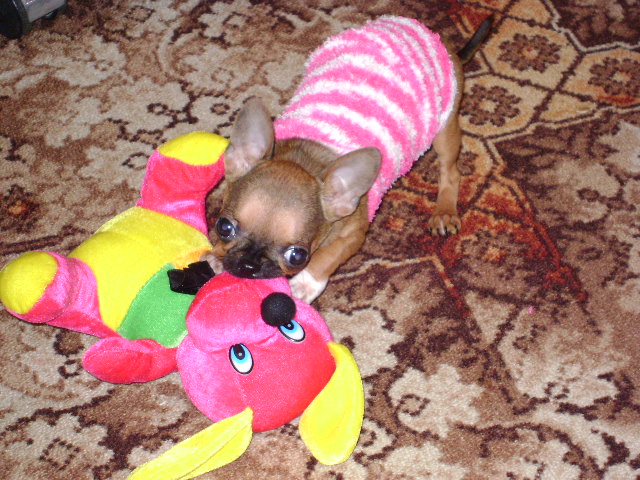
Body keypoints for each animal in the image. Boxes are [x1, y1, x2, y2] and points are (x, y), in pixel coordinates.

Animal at [204, 16, 492, 303]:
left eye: (297, 256)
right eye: (223, 226)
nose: (248, 265)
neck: (304, 157)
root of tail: (425, 32)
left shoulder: (353, 236)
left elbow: (327, 256)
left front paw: (304, 285)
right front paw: (215, 257)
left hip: (445, 126)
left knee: (451, 171)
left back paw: (444, 211)